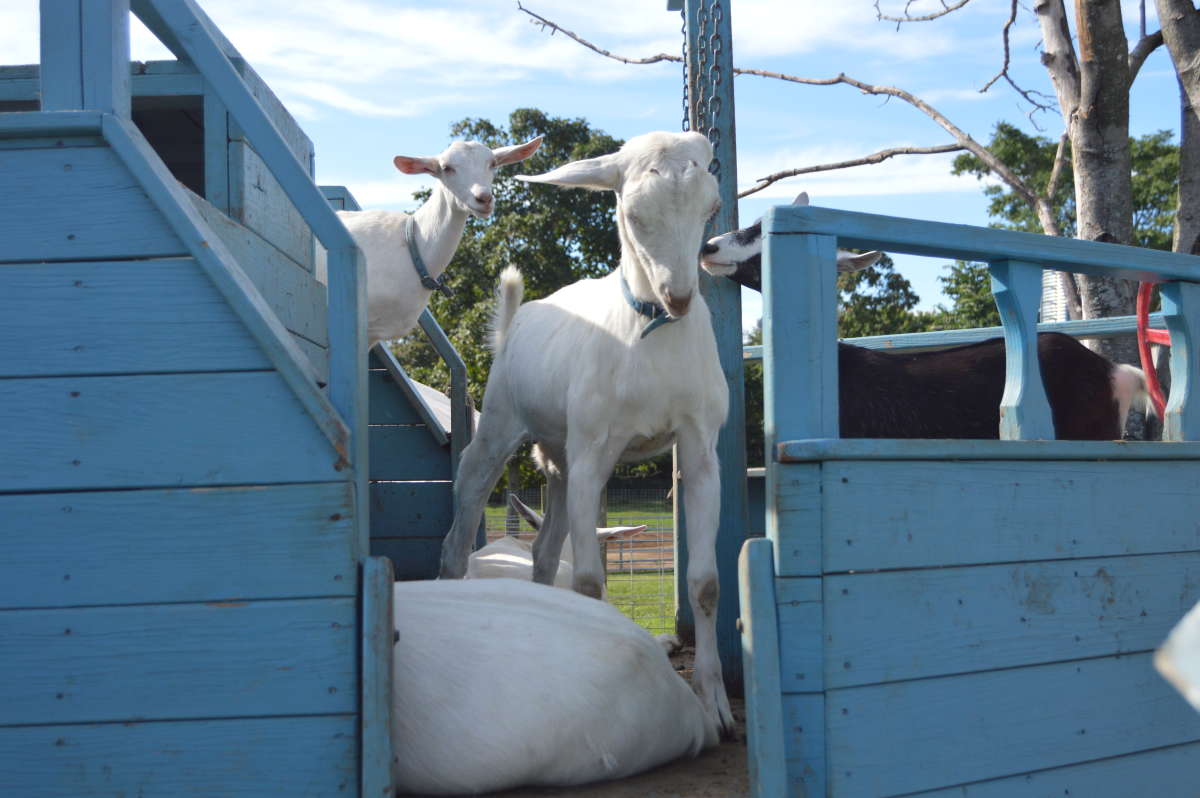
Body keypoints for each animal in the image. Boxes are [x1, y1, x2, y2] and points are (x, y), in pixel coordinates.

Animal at [439, 130, 729, 734]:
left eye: (711, 207)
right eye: (632, 213)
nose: (679, 297)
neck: (648, 338)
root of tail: (516, 323)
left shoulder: (699, 446)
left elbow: (705, 583)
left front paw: (714, 706)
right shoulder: (595, 449)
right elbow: (593, 583)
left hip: (560, 460)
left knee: (546, 551)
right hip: (499, 424)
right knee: (463, 518)